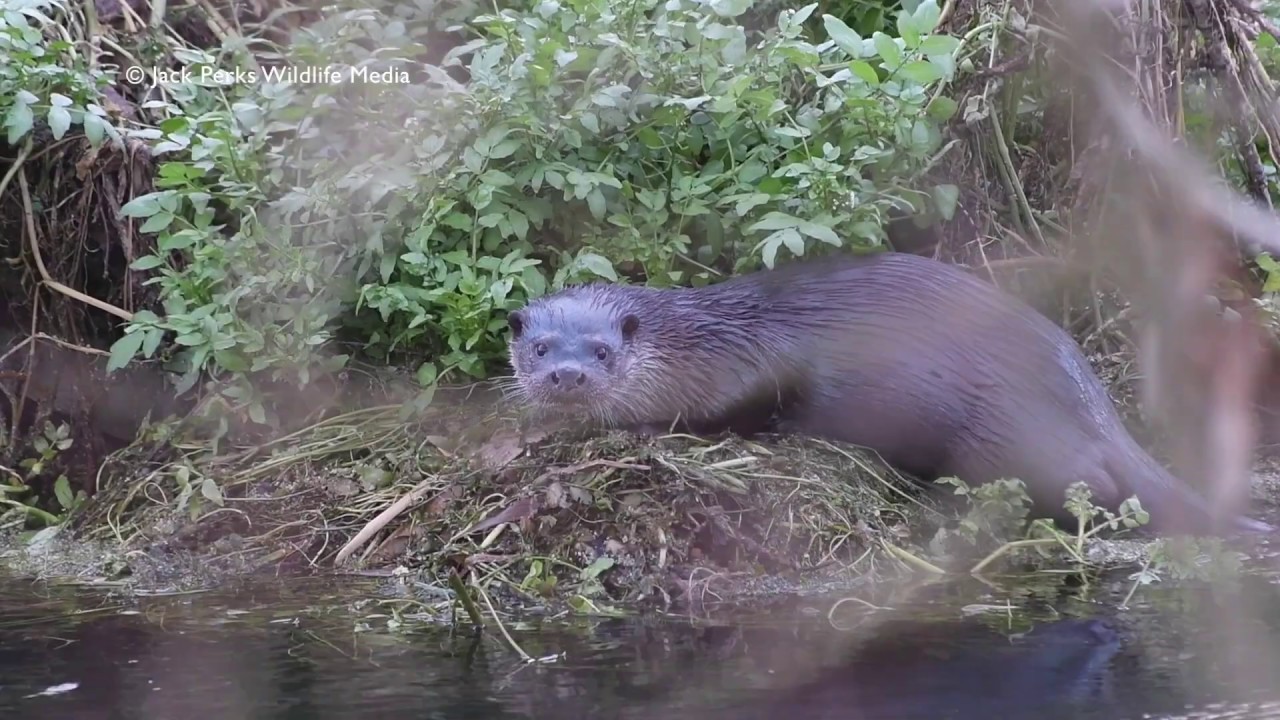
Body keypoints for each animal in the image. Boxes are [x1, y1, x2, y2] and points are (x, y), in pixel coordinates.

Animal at [505, 251, 1273, 536]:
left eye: (601, 351)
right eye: (539, 347)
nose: (567, 375)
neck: (697, 343)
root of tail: (1095, 407)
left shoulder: (751, 365)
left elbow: (747, 408)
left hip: (1013, 446)